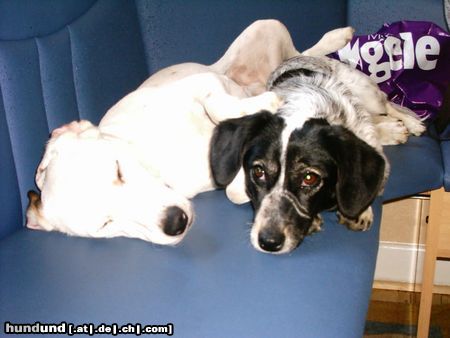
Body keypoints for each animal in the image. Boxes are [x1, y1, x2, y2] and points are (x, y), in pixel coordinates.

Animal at [25, 19, 356, 246]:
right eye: (106, 224)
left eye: (117, 170)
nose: (175, 222)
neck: (158, 160)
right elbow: (234, 190)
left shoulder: (203, 84)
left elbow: (217, 105)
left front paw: (265, 104)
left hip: (262, 30)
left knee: (301, 53)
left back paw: (335, 37)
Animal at [211, 54, 426, 254]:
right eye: (258, 172)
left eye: (310, 178)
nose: (268, 242)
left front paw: (360, 211)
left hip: (369, 95)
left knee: (388, 104)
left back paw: (411, 124)